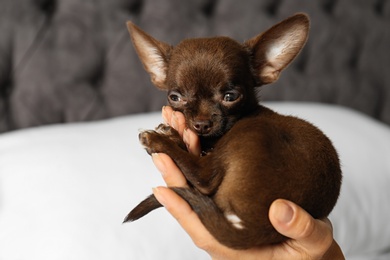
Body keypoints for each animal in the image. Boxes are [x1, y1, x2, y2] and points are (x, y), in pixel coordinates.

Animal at [124, 14, 342, 250]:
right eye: (175, 97)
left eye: (230, 96)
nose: (202, 124)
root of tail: (259, 230)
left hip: (252, 131)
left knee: (204, 178)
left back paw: (157, 140)